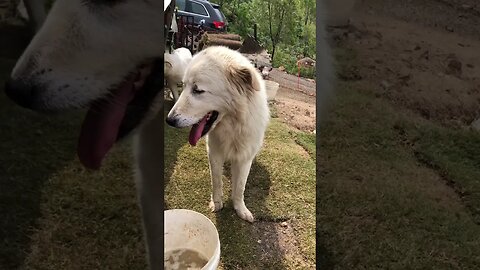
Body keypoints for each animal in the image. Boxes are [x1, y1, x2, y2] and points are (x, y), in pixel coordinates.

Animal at [165, 46, 270, 221]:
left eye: (198, 90)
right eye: (184, 86)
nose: (169, 120)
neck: (232, 127)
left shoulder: (244, 158)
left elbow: (240, 187)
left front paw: (240, 209)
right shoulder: (214, 152)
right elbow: (216, 181)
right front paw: (217, 203)